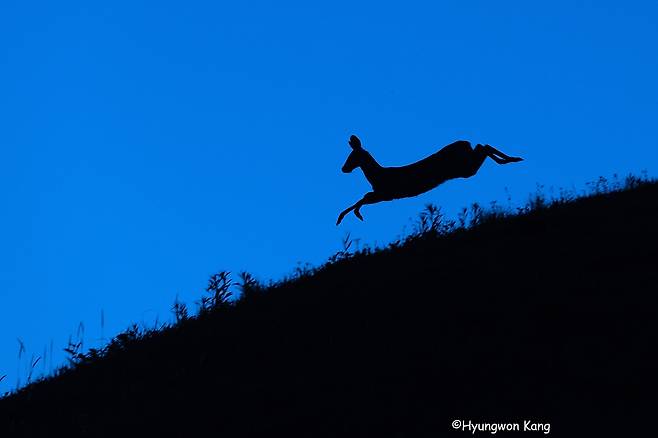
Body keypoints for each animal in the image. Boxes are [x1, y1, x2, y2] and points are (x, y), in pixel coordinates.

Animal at [336, 135, 523, 225]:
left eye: (352, 156)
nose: (343, 168)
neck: (377, 176)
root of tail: (465, 143)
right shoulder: (382, 194)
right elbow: (363, 197)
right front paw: (345, 216)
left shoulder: (387, 194)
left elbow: (363, 198)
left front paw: (350, 215)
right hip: (465, 167)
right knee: (482, 146)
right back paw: (511, 159)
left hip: (464, 168)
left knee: (483, 147)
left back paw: (511, 159)